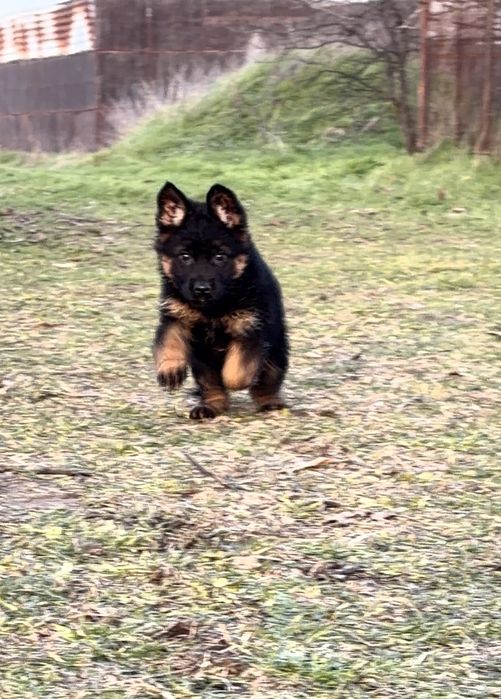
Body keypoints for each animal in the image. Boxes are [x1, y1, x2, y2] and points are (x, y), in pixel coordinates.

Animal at [152, 182, 288, 419]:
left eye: (219, 257)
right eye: (185, 257)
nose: (202, 290)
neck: (213, 308)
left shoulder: (251, 327)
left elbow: (236, 372)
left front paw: (237, 378)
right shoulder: (175, 316)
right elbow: (168, 341)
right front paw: (170, 368)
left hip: (277, 350)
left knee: (268, 381)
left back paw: (270, 402)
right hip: (200, 362)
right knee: (211, 386)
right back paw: (209, 406)